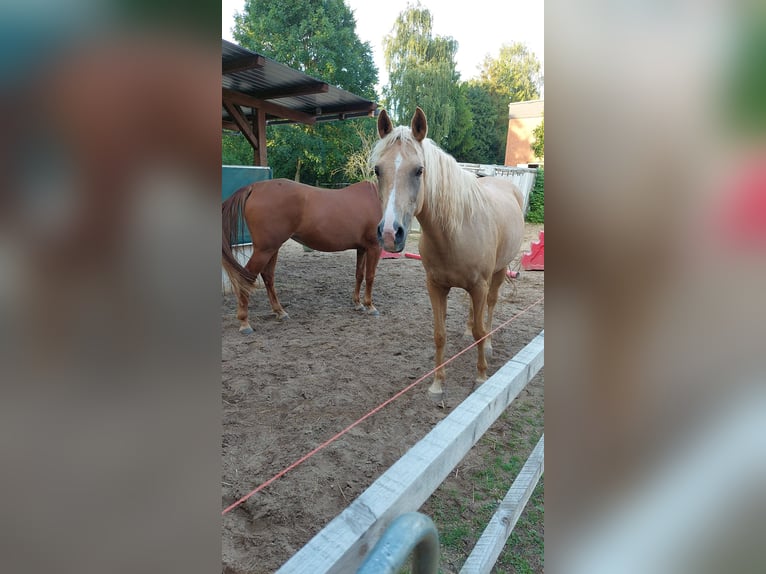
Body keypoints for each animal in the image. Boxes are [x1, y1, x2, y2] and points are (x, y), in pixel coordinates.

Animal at [222, 179, 384, 332]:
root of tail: (255, 187)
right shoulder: (374, 248)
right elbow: (370, 277)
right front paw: (370, 306)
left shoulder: (362, 249)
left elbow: (359, 275)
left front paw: (358, 304)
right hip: (264, 250)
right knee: (245, 278)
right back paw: (245, 322)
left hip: (272, 249)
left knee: (268, 276)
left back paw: (280, 312)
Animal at [372, 110, 528, 402]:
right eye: (377, 170)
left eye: (419, 170)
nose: (389, 233)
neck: (454, 233)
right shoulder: (436, 286)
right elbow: (439, 334)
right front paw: (437, 384)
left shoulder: (479, 286)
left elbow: (480, 330)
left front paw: (481, 376)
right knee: (474, 313)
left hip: (498, 273)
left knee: (490, 308)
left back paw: (489, 345)